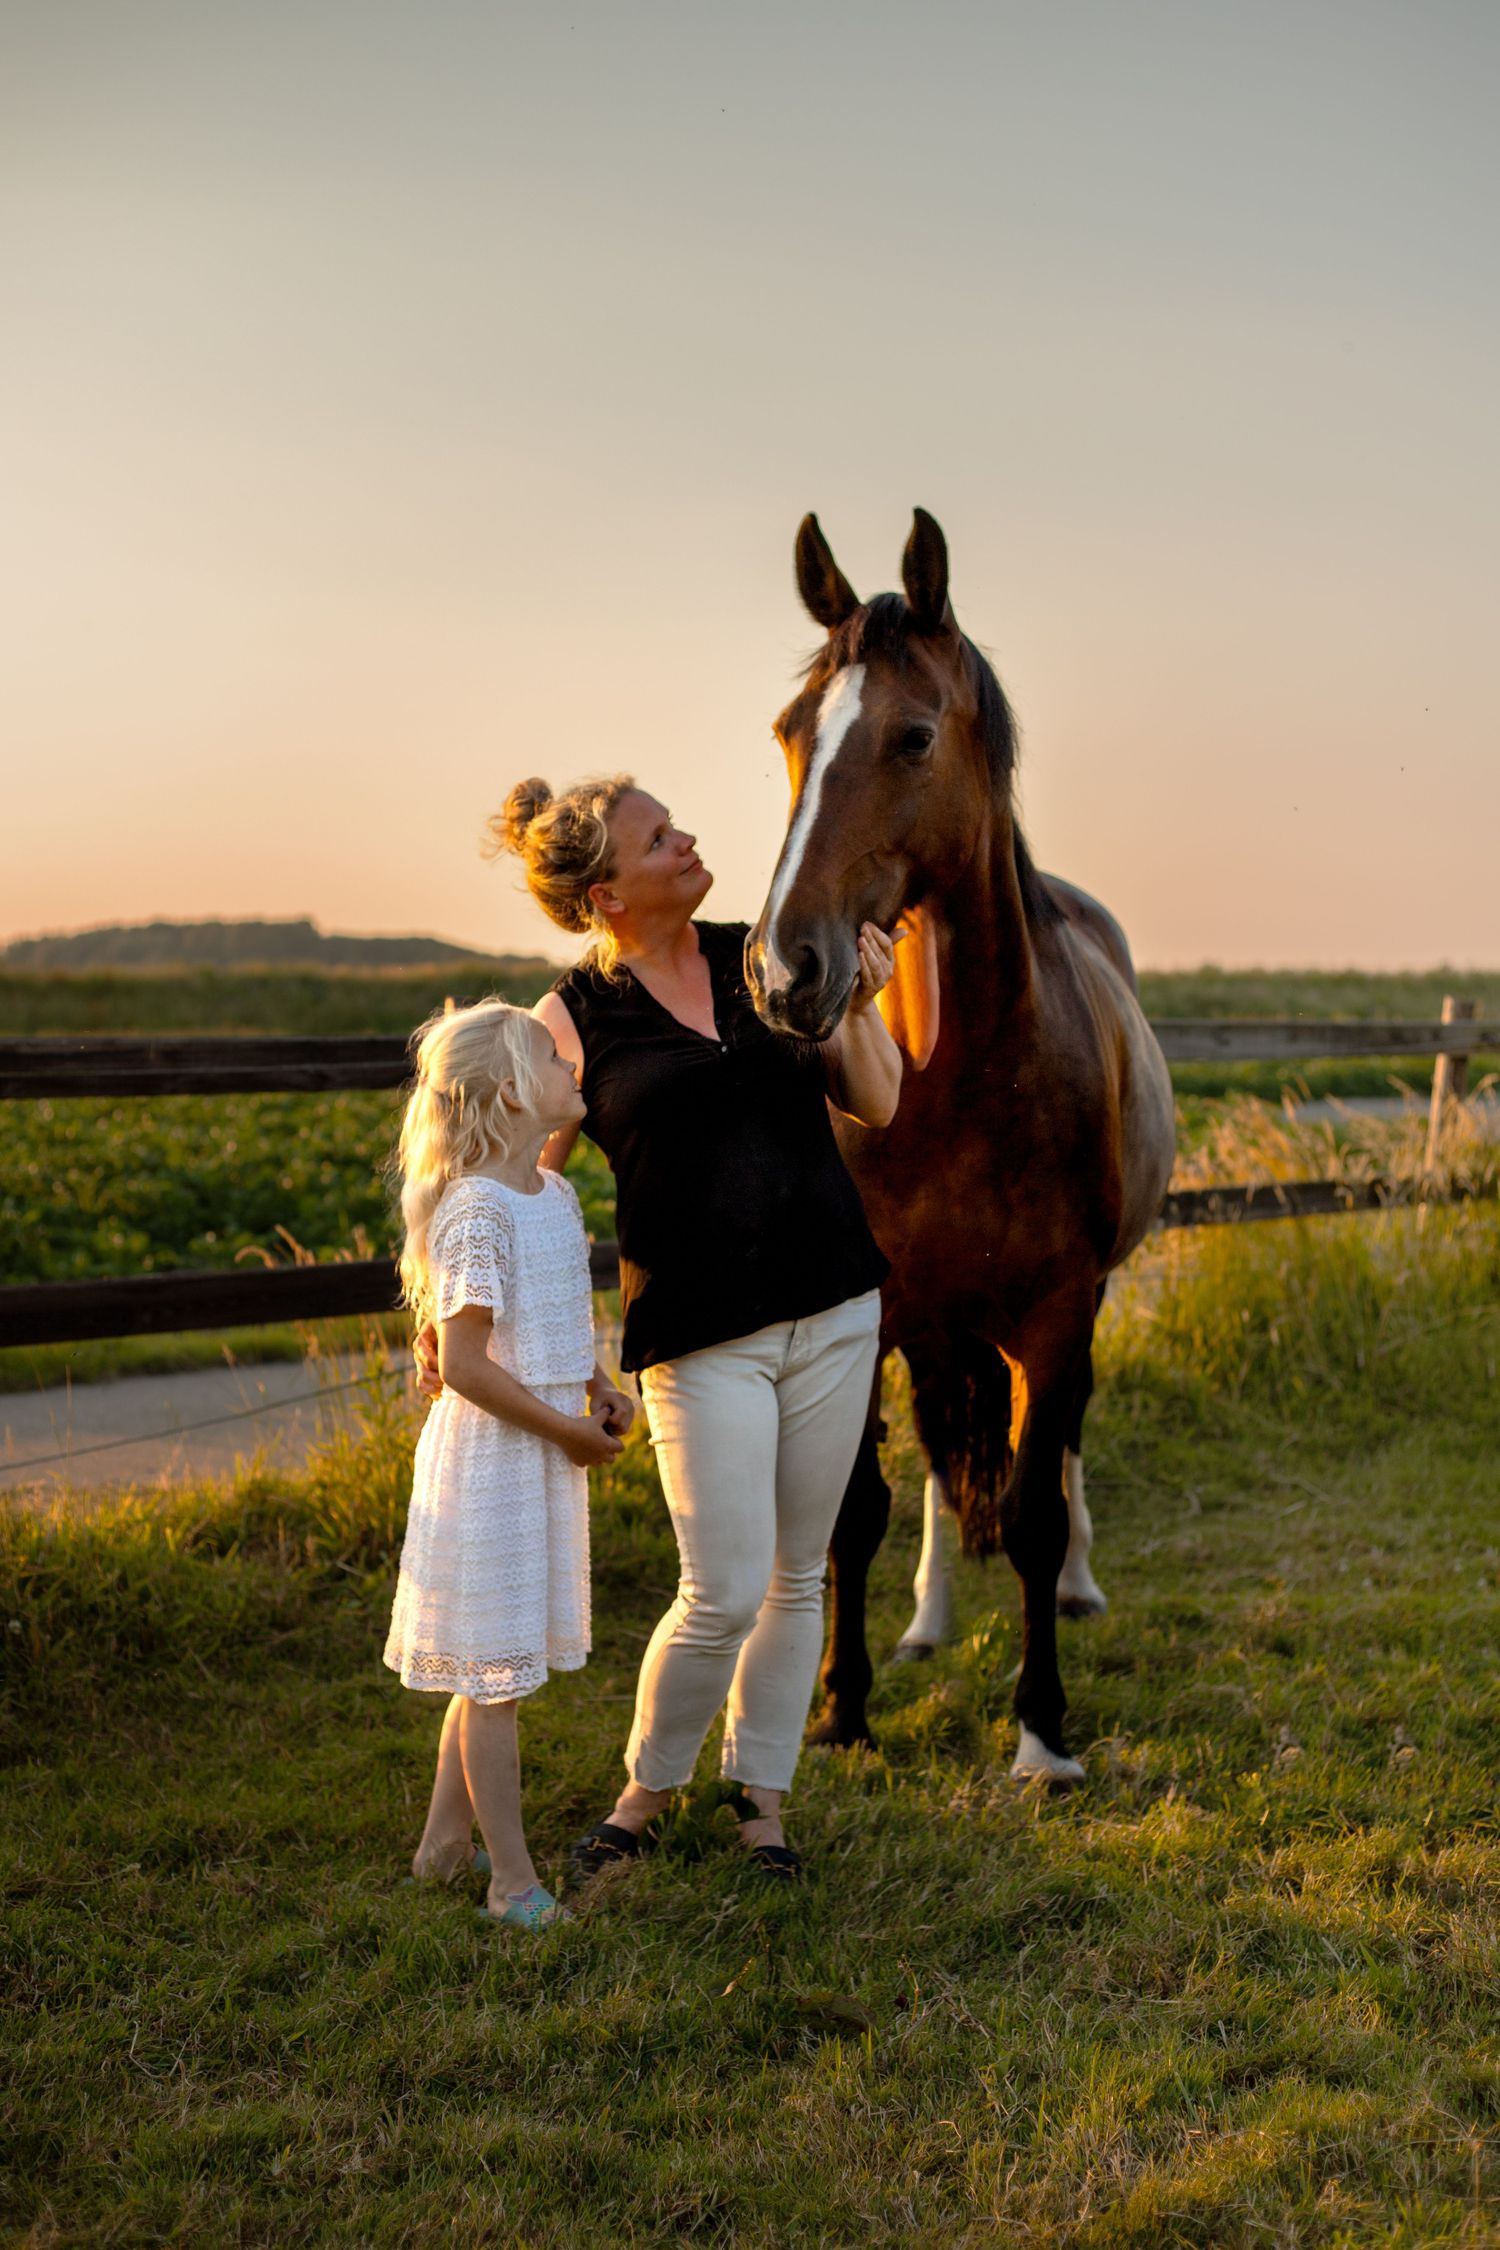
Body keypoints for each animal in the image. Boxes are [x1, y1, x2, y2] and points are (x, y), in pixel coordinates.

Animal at [746, 506, 1178, 1773]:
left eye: (913, 737)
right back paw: (930, 1620)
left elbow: (1033, 1507)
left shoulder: (1058, 1308)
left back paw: (1079, 1588)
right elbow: (855, 1513)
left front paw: (1041, 1729)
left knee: (1062, 1447)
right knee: (945, 1463)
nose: (784, 971)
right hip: (938, 1325)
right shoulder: (876, 1309)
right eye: (790, 735)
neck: (960, 1087)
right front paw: (842, 1710)